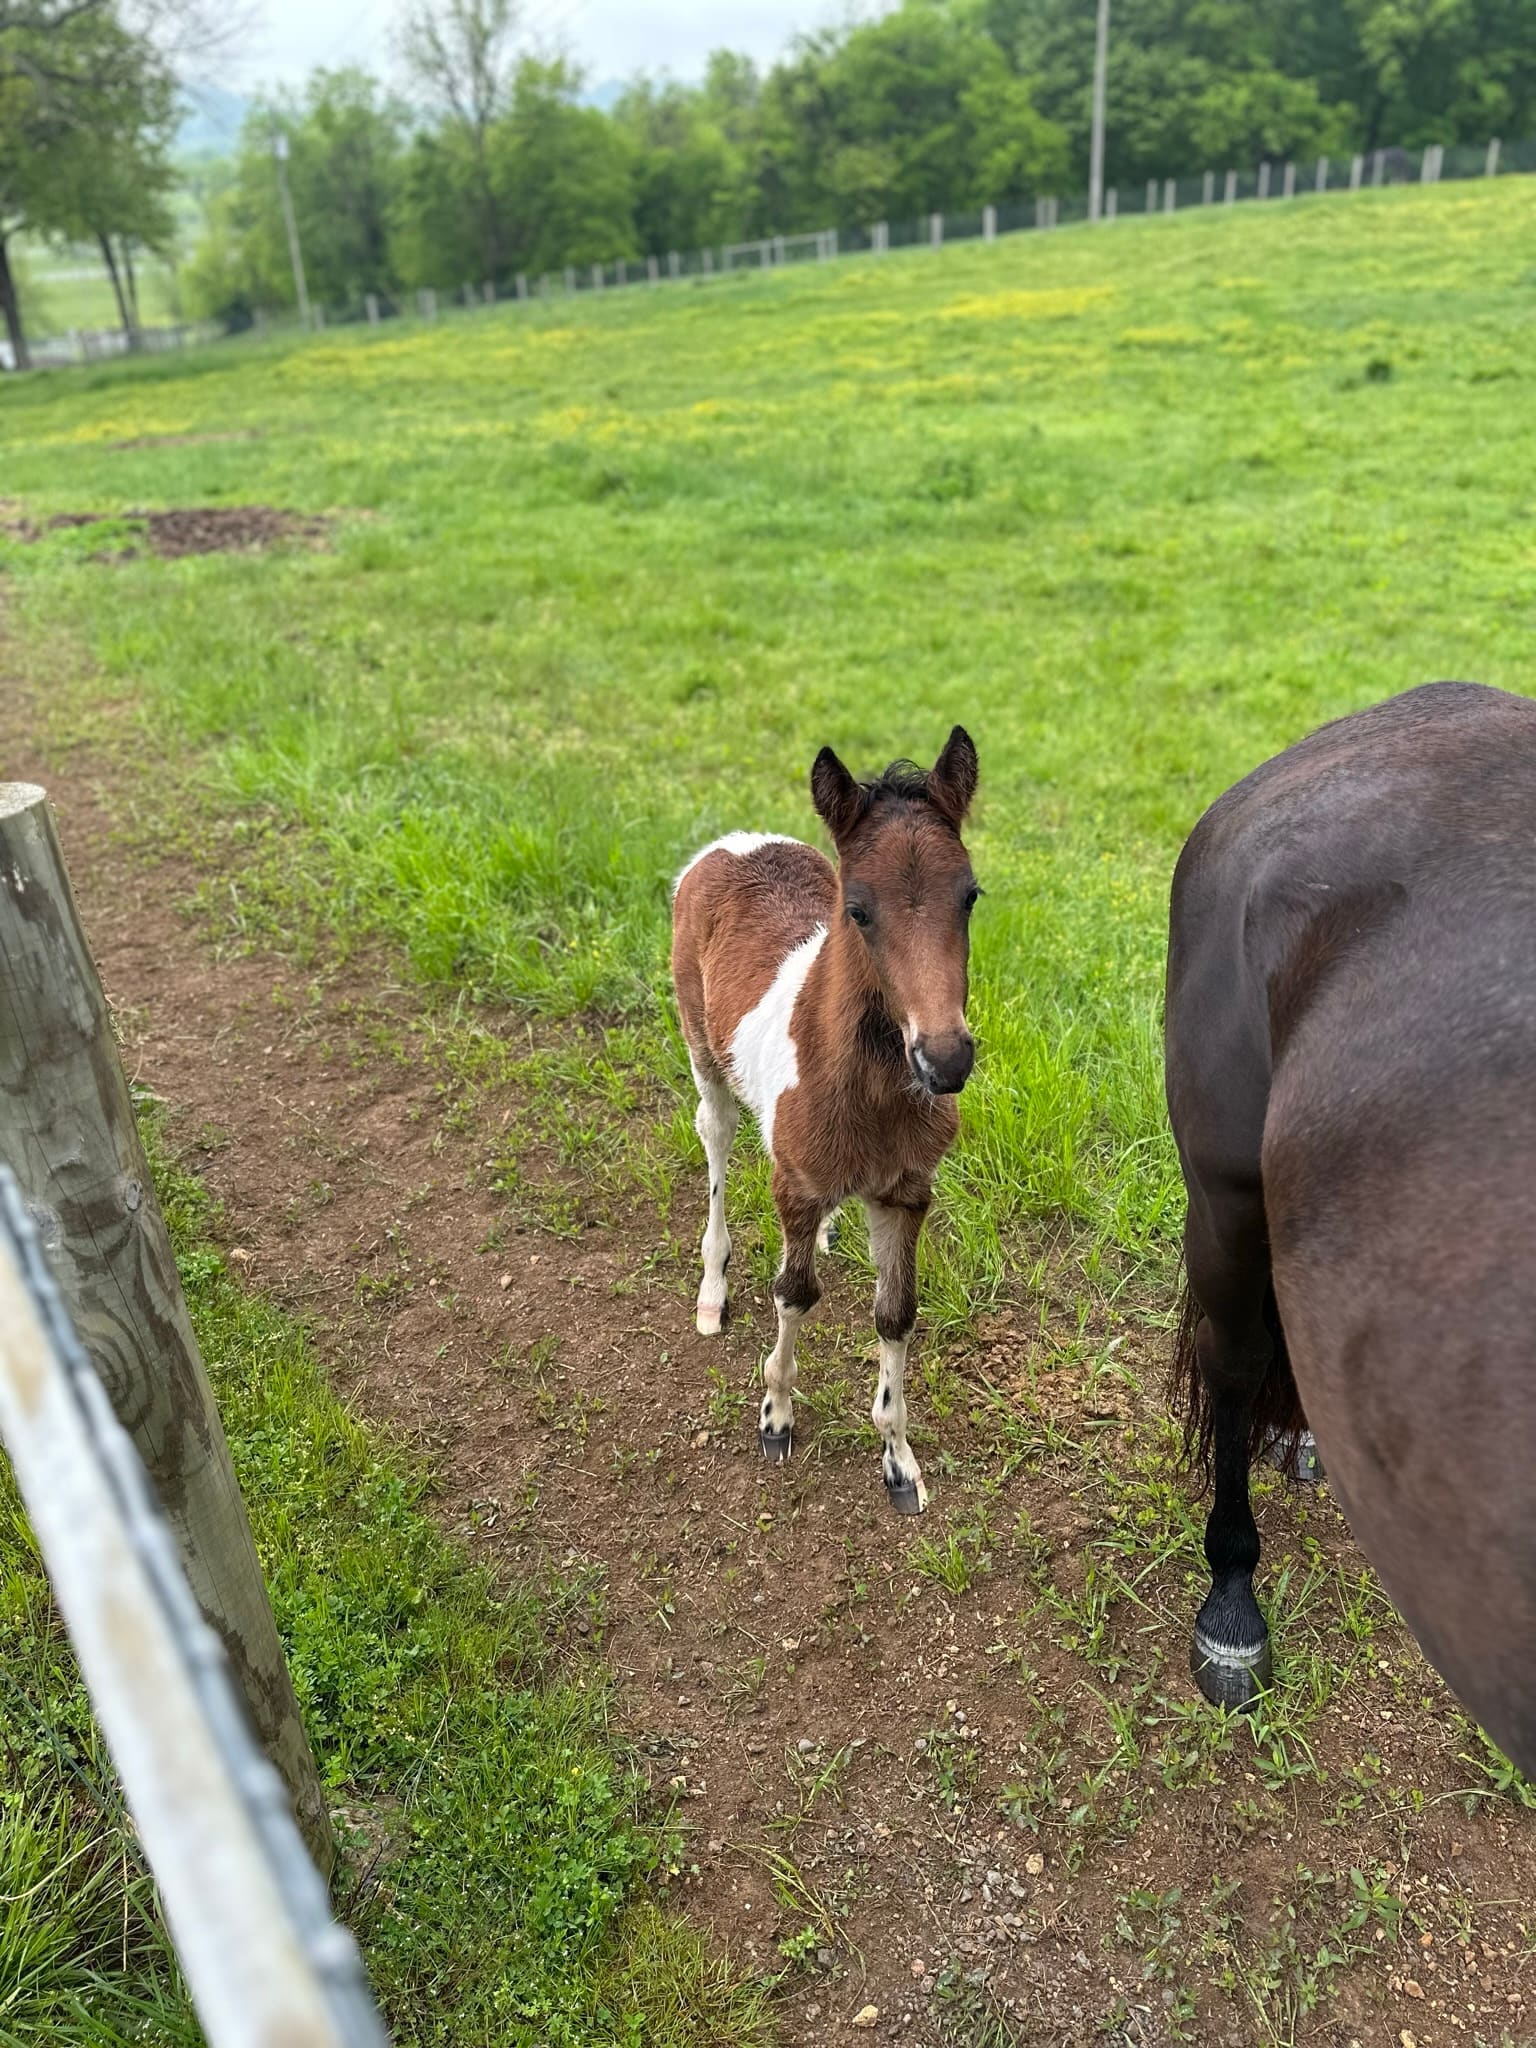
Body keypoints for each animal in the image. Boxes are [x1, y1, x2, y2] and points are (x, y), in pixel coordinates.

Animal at [671, 728, 980, 1514]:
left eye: (970, 896)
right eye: (859, 910)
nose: (946, 1060)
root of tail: (734, 843)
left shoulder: (906, 1192)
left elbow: (896, 1312)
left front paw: (900, 1463)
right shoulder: (795, 1185)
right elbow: (795, 1292)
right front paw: (775, 1418)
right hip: (701, 1051)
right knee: (715, 1138)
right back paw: (713, 1290)